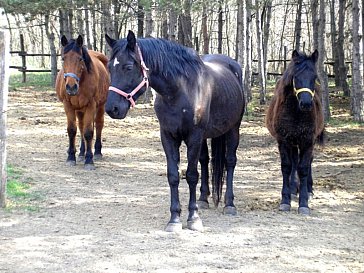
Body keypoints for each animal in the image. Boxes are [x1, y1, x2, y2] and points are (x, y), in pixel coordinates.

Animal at [55, 35, 109, 169]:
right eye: (63, 59)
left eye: (80, 59)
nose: (71, 87)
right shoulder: (68, 105)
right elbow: (72, 130)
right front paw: (71, 157)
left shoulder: (91, 105)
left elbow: (89, 132)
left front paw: (89, 159)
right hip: (79, 109)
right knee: (80, 126)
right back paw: (81, 153)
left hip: (101, 106)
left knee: (99, 124)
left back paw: (97, 152)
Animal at [106, 30, 246, 231]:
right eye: (109, 67)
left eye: (128, 67)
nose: (112, 109)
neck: (180, 90)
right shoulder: (168, 136)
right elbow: (173, 175)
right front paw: (174, 218)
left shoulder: (194, 136)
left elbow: (191, 175)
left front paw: (193, 218)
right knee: (205, 161)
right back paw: (203, 199)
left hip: (233, 129)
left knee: (230, 162)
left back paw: (229, 204)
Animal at [264, 50, 324, 214]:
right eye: (295, 77)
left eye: (314, 77)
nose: (306, 103)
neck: (296, 112)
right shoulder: (283, 141)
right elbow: (287, 166)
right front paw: (285, 200)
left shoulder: (308, 142)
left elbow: (303, 168)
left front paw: (304, 202)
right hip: (292, 142)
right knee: (294, 161)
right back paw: (292, 188)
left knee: (306, 162)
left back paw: (308, 189)